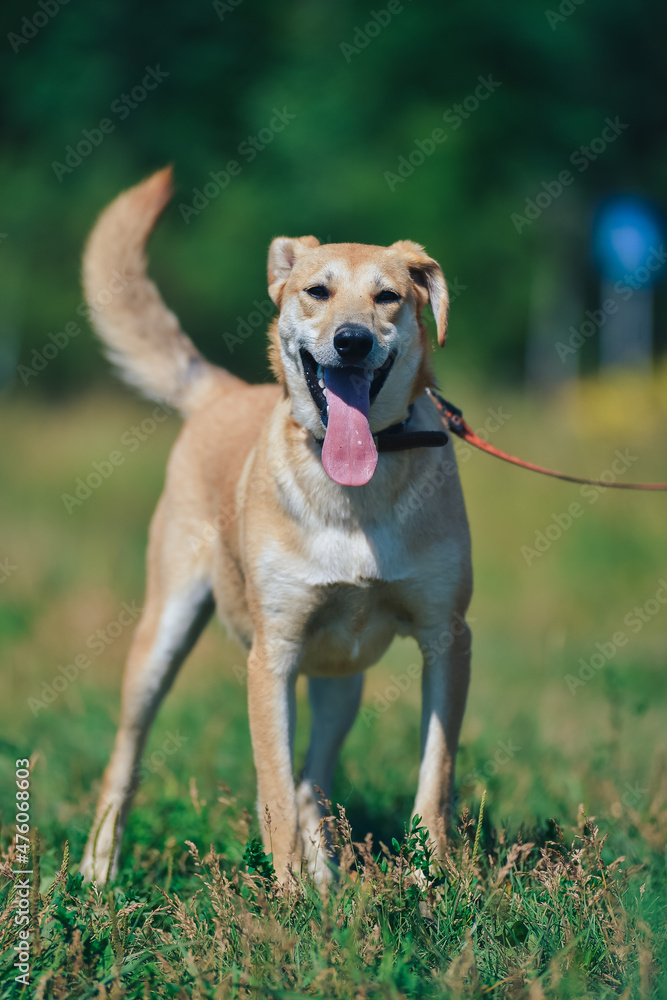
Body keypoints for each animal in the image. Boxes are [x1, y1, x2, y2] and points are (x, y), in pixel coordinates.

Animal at [78, 166, 472, 884]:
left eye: (388, 297)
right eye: (317, 292)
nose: (352, 340)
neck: (356, 498)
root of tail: (224, 392)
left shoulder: (446, 637)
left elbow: (434, 777)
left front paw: (432, 884)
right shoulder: (272, 656)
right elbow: (273, 790)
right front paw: (286, 894)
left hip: (343, 678)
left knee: (314, 779)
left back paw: (328, 879)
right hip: (162, 633)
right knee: (127, 755)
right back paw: (98, 870)